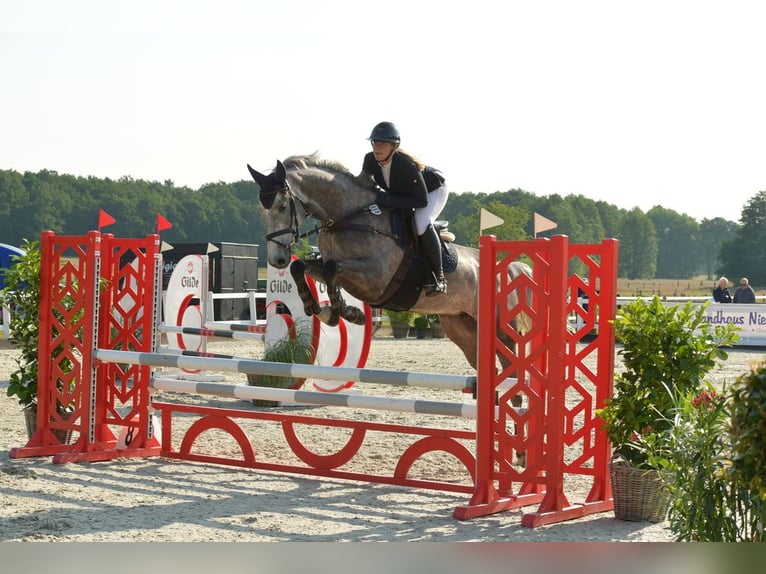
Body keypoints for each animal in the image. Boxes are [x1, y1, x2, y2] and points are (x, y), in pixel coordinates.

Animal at [249, 153, 532, 372]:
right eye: (261, 211)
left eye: (282, 205)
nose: (277, 259)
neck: (348, 216)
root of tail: (511, 269)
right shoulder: (333, 266)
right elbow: (303, 268)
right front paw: (324, 309)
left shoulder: (377, 279)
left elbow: (333, 269)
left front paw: (343, 313)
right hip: (462, 326)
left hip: (502, 329)